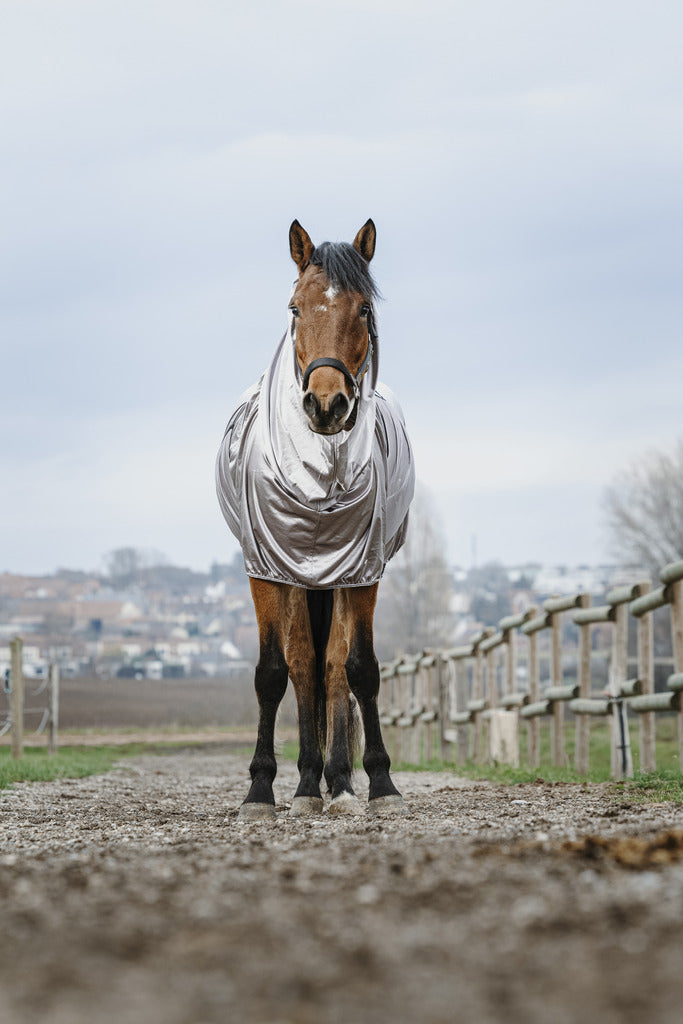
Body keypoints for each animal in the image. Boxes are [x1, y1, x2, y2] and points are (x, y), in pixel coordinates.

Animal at [216, 220, 413, 819]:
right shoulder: (266, 568)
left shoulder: (361, 569)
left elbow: (358, 670)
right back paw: (304, 784)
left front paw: (379, 784)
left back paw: (336, 781)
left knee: (330, 667)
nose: (326, 405)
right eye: (295, 307)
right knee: (303, 664)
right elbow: (273, 673)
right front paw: (259, 790)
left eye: (364, 308)